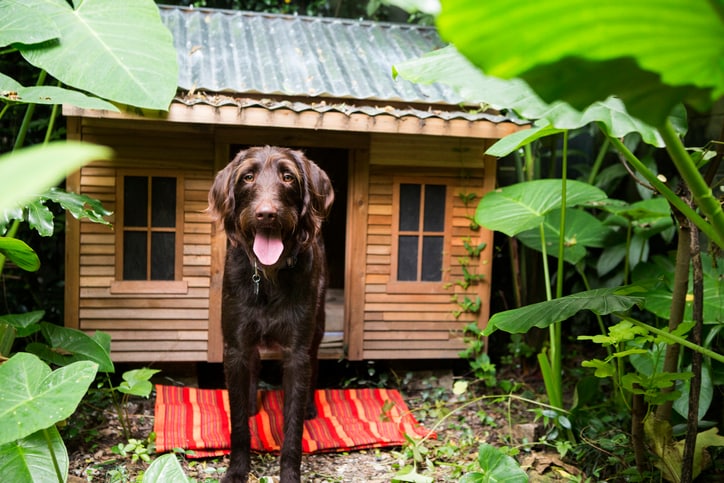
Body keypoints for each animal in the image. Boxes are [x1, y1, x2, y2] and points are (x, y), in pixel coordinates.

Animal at [208, 146, 336, 482]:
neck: (268, 277)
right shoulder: (236, 347)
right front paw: (237, 470)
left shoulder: (297, 353)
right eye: (248, 177)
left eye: (288, 177)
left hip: (317, 327)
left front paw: (290, 474)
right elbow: (238, 419)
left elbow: (293, 427)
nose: (267, 214)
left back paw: (310, 407)